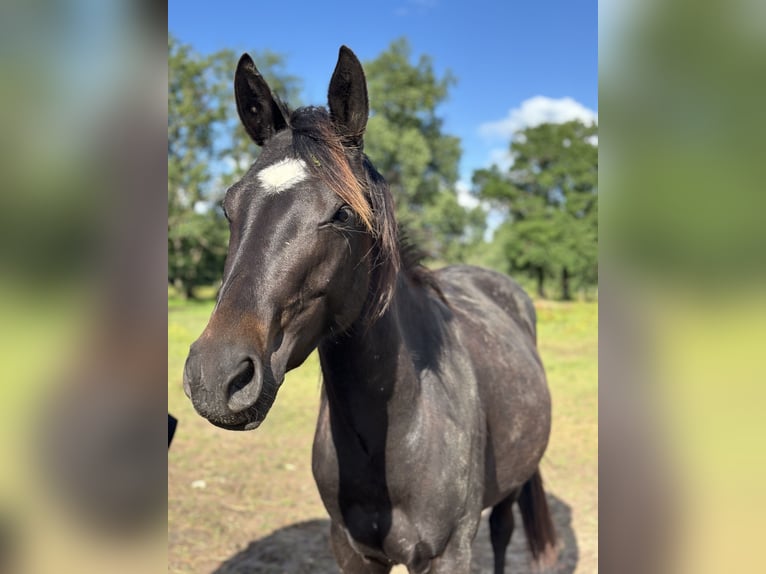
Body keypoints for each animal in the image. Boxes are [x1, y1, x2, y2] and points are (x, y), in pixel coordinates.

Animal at [183, 46, 557, 574]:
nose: (216, 377)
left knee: (504, 531)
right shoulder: (354, 552)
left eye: (343, 212)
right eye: (228, 207)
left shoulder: (449, 554)